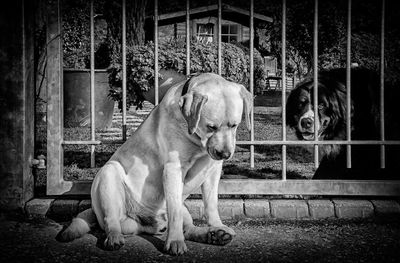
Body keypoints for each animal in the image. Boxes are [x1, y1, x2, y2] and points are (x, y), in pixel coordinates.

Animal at [58, 72, 253, 256]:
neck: (195, 139)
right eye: (211, 127)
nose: (225, 154)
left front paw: (217, 225)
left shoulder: (212, 170)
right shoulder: (173, 169)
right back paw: (114, 237)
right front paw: (174, 242)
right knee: (111, 221)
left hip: (182, 206)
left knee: (188, 228)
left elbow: (211, 204)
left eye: (234, 125)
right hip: (108, 173)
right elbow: (174, 214)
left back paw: (213, 235)